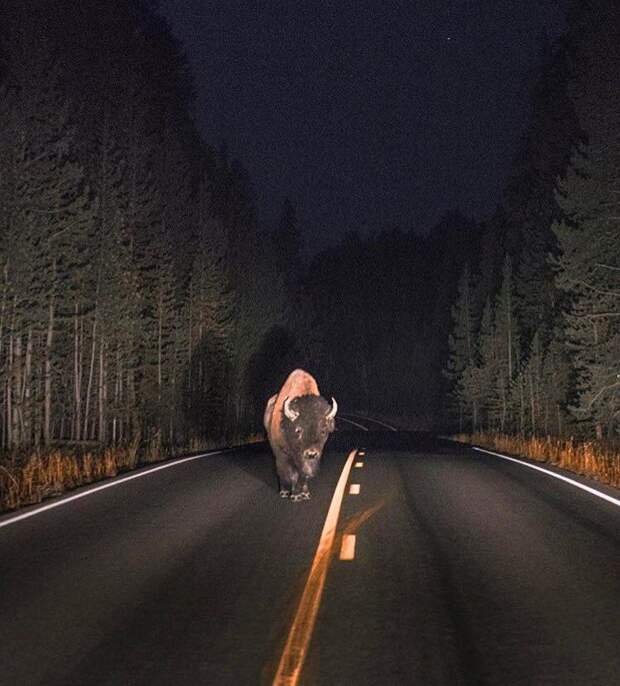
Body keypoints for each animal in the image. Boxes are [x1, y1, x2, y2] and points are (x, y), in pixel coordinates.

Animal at [264, 368, 336, 502]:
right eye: (299, 430)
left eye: (323, 431)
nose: (311, 453)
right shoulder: (283, 454)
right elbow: (290, 473)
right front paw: (294, 495)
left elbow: (303, 474)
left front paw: (304, 494)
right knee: (280, 471)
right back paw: (284, 491)